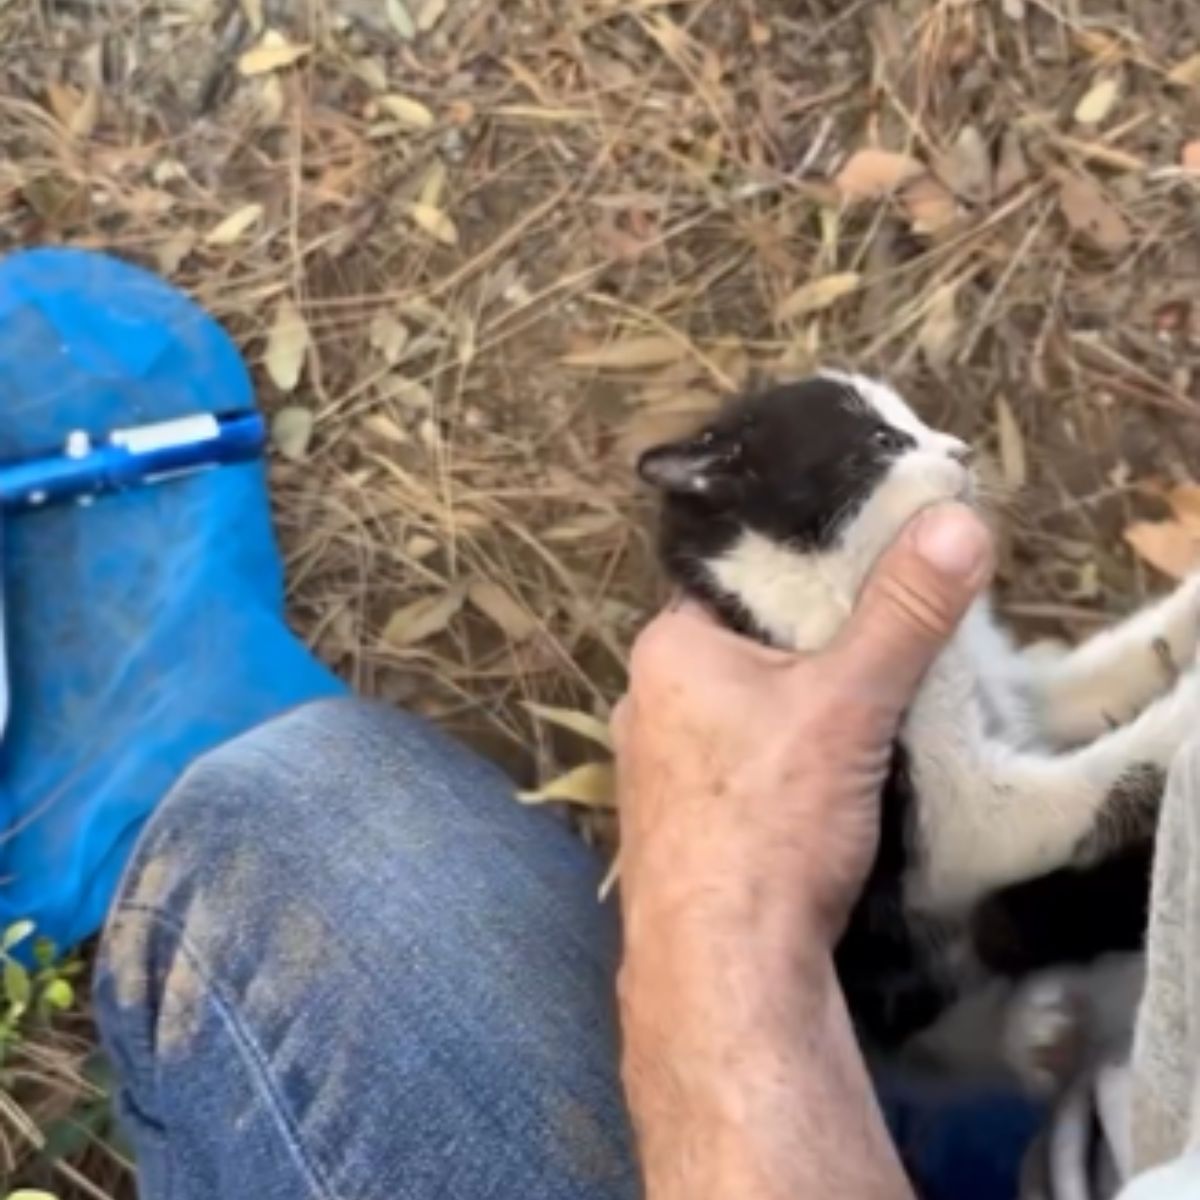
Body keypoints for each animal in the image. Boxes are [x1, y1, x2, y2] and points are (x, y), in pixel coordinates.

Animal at [638, 369, 1200, 1094]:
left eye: (917, 421)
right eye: (884, 440)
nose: (963, 451)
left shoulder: (1006, 692)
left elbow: (1104, 671)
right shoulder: (946, 818)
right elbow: (1097, 780)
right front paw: (1185, 714)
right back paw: (1034, 1034)